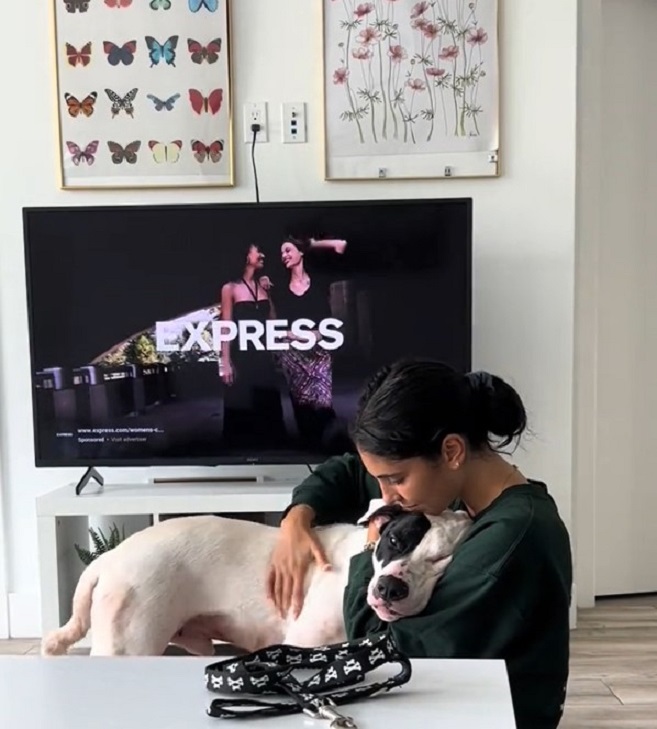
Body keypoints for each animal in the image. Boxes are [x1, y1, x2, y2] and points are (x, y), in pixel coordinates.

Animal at [42, 500, 472, 656]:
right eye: (395, 540)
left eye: (441, 558)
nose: (389, 587)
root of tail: (109, 556)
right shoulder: (302, 642)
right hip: (130, 645)